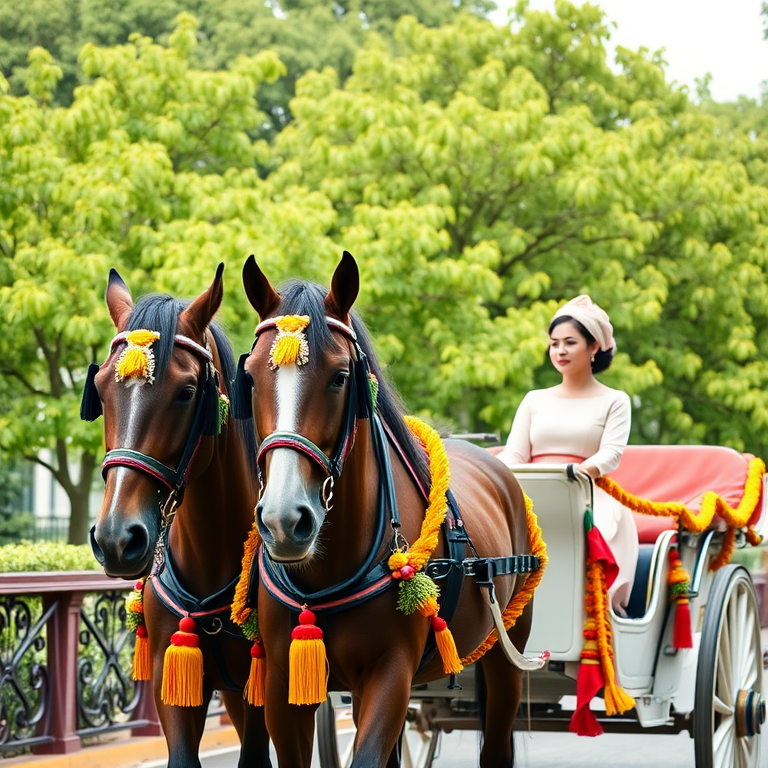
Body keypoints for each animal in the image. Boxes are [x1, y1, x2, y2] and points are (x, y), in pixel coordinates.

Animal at [236, 252, 542, 768]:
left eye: (340, 377)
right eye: (253, 378)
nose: (283, 521)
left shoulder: (390, 674)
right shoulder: (284, 683)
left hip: (506, 652)